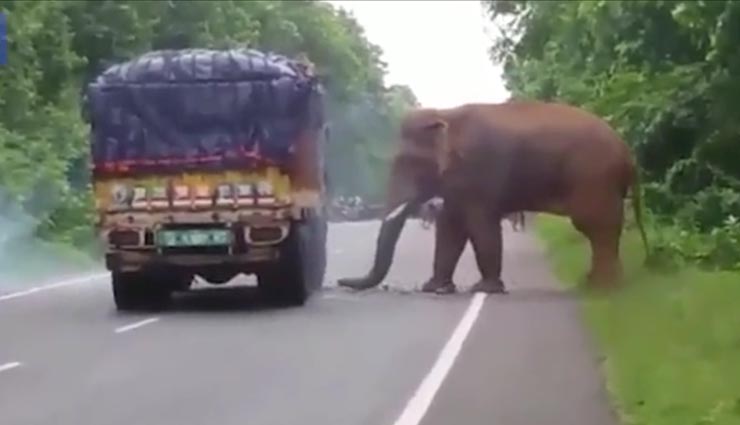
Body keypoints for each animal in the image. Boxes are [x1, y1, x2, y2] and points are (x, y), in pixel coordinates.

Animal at [337, 100, 650, 294]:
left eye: (409, 162)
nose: (340, 282)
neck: (446, 115)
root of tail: (629, 155)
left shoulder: (478, 172)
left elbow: (480, 225)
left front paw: (485, 289)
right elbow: (450, 227)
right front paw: (434, 288)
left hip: (594, 180)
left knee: (596, 227)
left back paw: (602, 288)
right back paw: (596, 284)